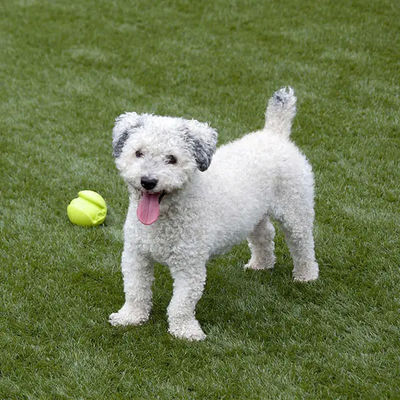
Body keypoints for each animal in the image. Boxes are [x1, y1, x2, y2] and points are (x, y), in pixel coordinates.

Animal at [108, 87, 318, 340]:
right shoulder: (136, 255)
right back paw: (261, 263)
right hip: (254, 214)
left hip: (296, 209)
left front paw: (185, 331)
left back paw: (306, 275)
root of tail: (274, 134)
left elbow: (181, 303)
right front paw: (130, 317)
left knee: (302, 243)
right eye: (138, 153)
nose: (148, 181)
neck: (163, 221)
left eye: (172, 159)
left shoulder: (190, 264)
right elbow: (135, 290)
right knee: (265, 234)